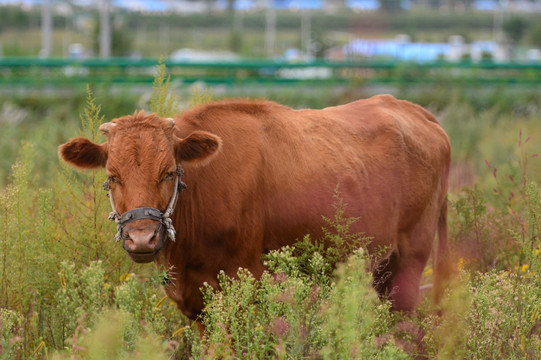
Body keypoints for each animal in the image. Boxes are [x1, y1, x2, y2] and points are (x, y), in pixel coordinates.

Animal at [58, 94, 452, 320]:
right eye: (112, 176)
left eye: (169, 172)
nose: (142, 238)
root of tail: (412, 109)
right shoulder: (195, 304)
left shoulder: (242, 282)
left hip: (412, 254)